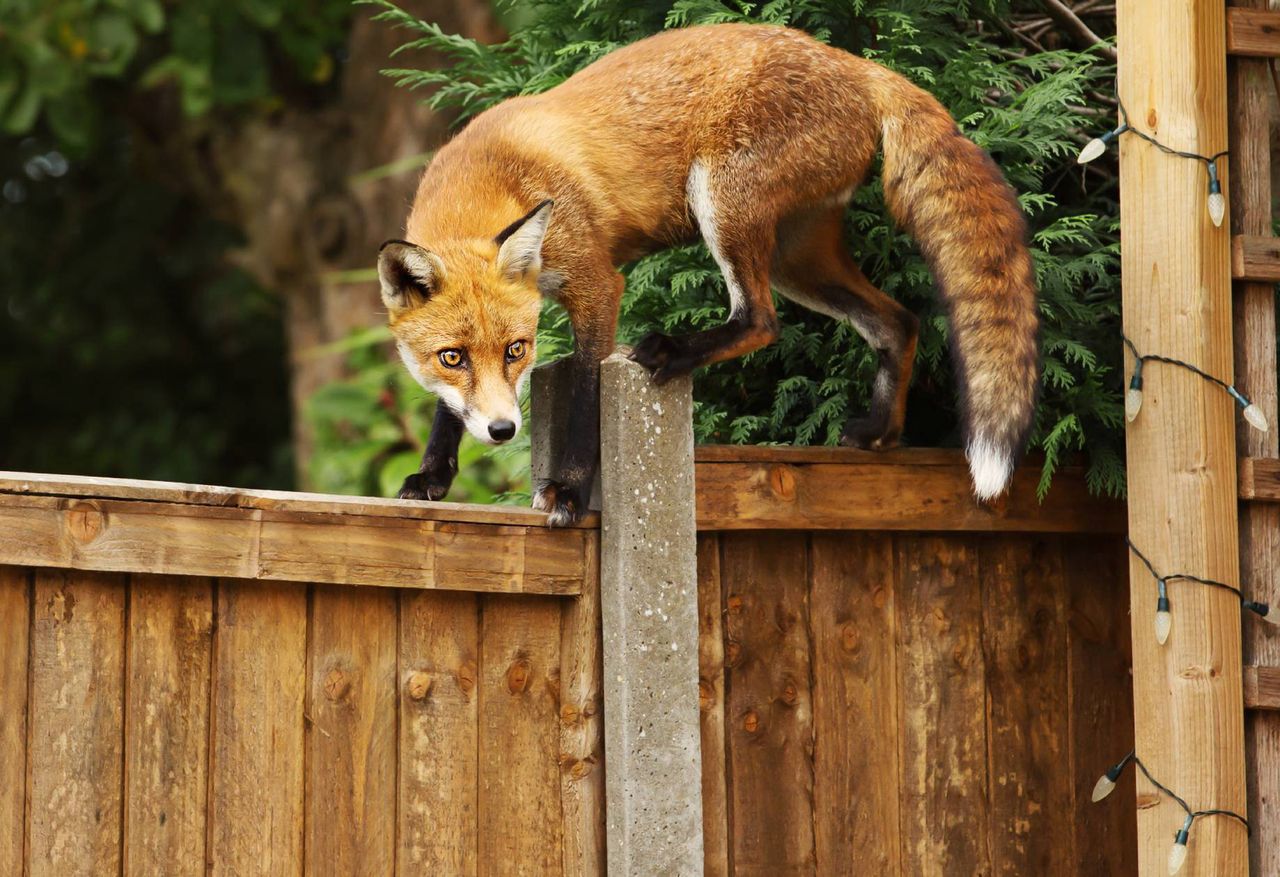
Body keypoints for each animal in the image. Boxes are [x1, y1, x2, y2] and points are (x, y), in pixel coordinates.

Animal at [376, 22, 1039, 527]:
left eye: (518, 350)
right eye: (452, 357)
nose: (503, 430)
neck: (494, 176)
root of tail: (859, 65)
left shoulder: (598, 285)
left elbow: (587, 392)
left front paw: (569, 490)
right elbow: (447, 408)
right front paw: (432, 475)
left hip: (723, 205)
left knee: (762, 321)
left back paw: (674, 351)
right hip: (798, 258)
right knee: (896, 322)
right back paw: (881, 431)